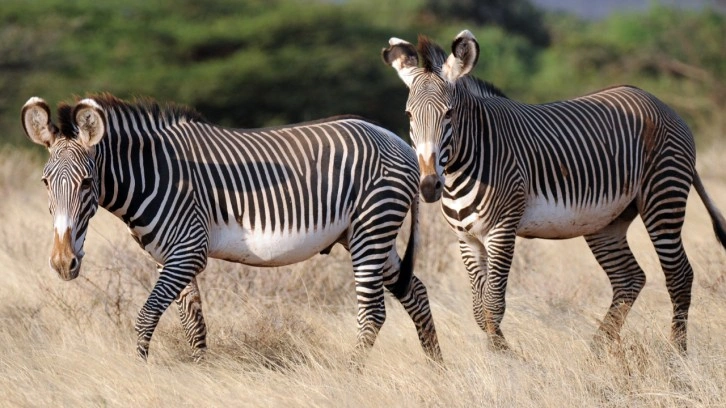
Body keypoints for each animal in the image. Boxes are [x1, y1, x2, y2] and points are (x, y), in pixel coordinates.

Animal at [21, 94, 444, 362]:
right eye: (44, 182)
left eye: (86, 183)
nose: (63, 263)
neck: (154, 175)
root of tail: (398, 142)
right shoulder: (170, 257)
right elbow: (193, 325)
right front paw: (200, 376)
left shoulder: (188, 250)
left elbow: (146, 315)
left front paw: (139, 372)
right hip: (365, 235)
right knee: (416, 293)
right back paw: (435, 369)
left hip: (373, 226)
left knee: (372, 313)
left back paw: (350, 377)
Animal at [384, 29, 724, 354]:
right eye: (409, 116)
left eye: (449, 114)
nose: (429, 186)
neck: (465, 163)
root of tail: (661, 103)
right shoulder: (466, 239)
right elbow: (479, 310)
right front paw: (498, 353)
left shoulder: (502, 230)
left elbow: (493, 305)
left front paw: (505, 359)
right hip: (606, 221)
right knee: (630, 278)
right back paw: (596, 352)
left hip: (663, 196)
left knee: (679, 275)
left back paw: (676, 353)